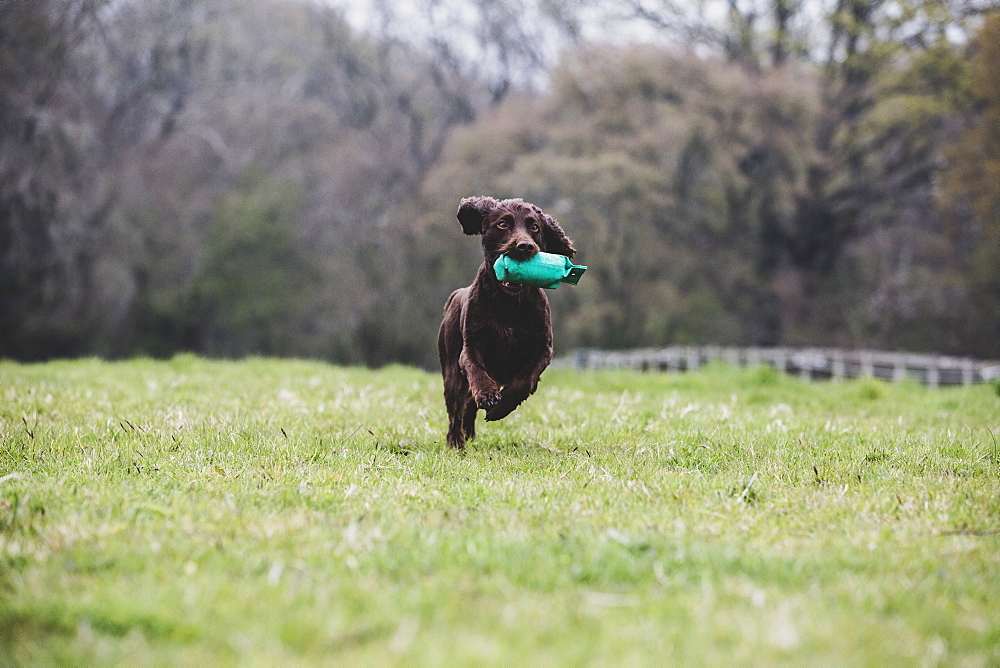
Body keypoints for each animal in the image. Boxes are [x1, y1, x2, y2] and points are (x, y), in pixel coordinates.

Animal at [438, 197, 580, 448]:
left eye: (535, 227)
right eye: (503, 224)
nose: (525, 247)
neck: (509, 303)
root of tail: (454, 296)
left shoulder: (543, 349)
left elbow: (524, 381)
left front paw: (500, 407)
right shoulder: (470, 346)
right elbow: (476, 371)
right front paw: (488, 395)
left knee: (467, 407)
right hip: (451, 371)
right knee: (455, 409)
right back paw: (457, 442)